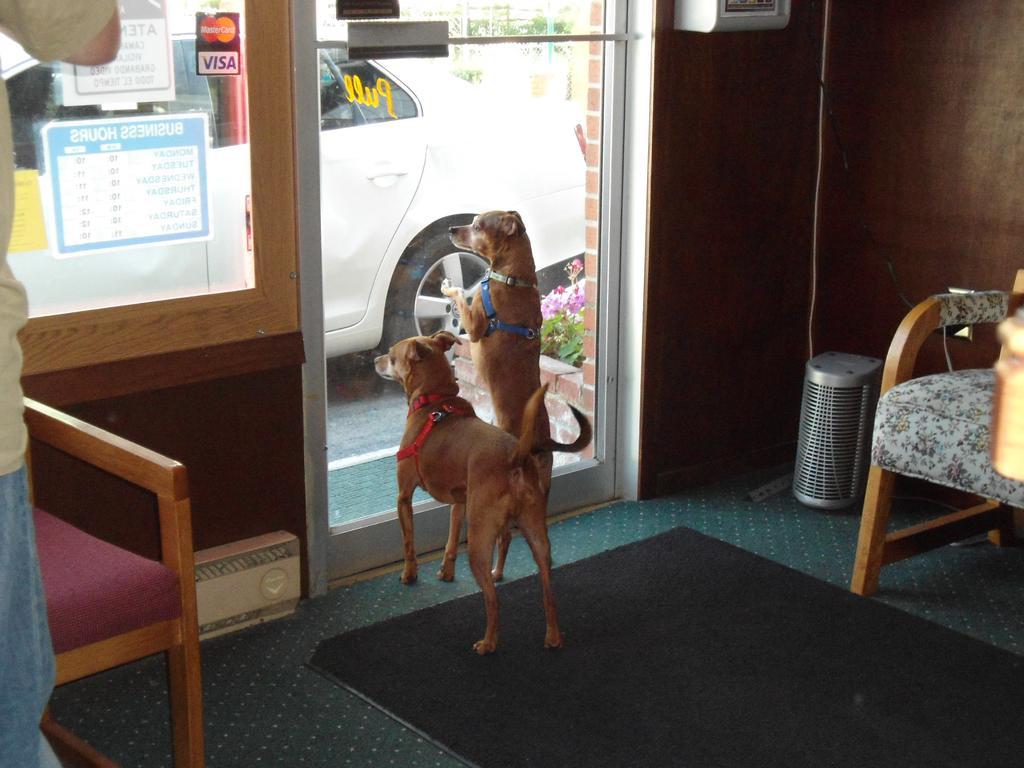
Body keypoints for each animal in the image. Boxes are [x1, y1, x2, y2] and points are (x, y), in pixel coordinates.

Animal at [376, 331, 589, 655]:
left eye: (391, 355)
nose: (375, 360)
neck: (434, 401)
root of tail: (516, 456)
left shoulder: (403, 496)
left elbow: (408, 541)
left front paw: (409, 575)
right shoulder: (458, 503)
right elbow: (450, 541)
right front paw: (446, 572)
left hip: (479, 540)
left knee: (492, 599)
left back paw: (488, 642)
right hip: (536, 532)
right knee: (547, 588)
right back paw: (552, 635)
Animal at [444, 210, 589, 581]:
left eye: (477, 225)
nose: (451, 228)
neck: (512, 277)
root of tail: (538, 443)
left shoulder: (476, 325)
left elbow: (462, 301)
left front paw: (450, 288)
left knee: (504, 537)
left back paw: (496, 572)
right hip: (541, 493)